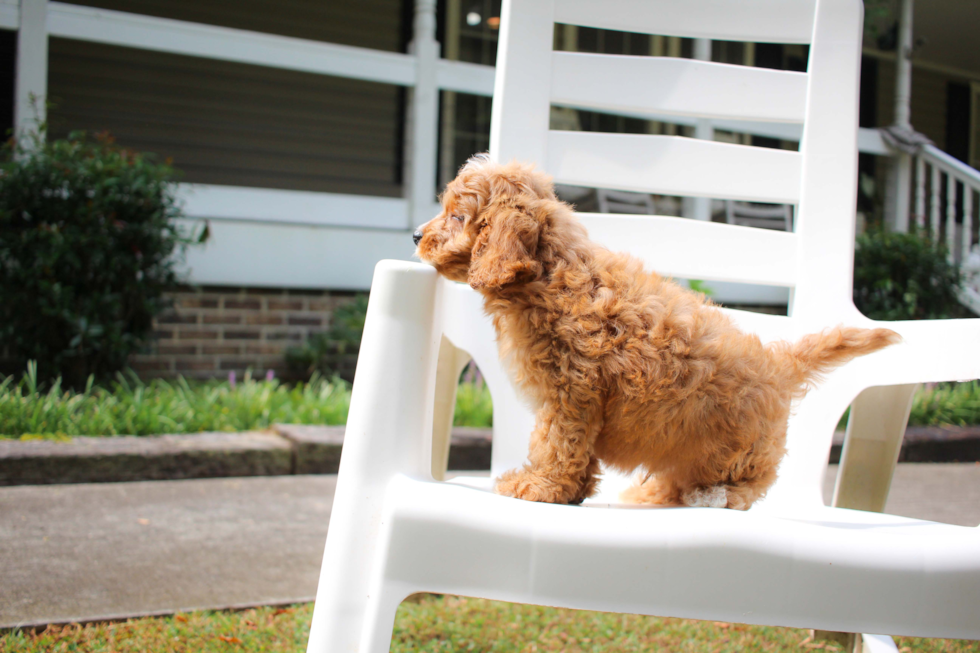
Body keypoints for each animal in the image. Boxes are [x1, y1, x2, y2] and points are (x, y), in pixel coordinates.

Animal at [412, 157, 896, 510]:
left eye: (456, 216)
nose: (416, 235)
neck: (551, 274)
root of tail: (781, 364)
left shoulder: (571, 392)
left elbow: (556, 443)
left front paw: (539, 486)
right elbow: (578, 452)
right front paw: (572, 491)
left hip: (737, 450)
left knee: (744, 486)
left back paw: (707, 497)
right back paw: (654, 494)